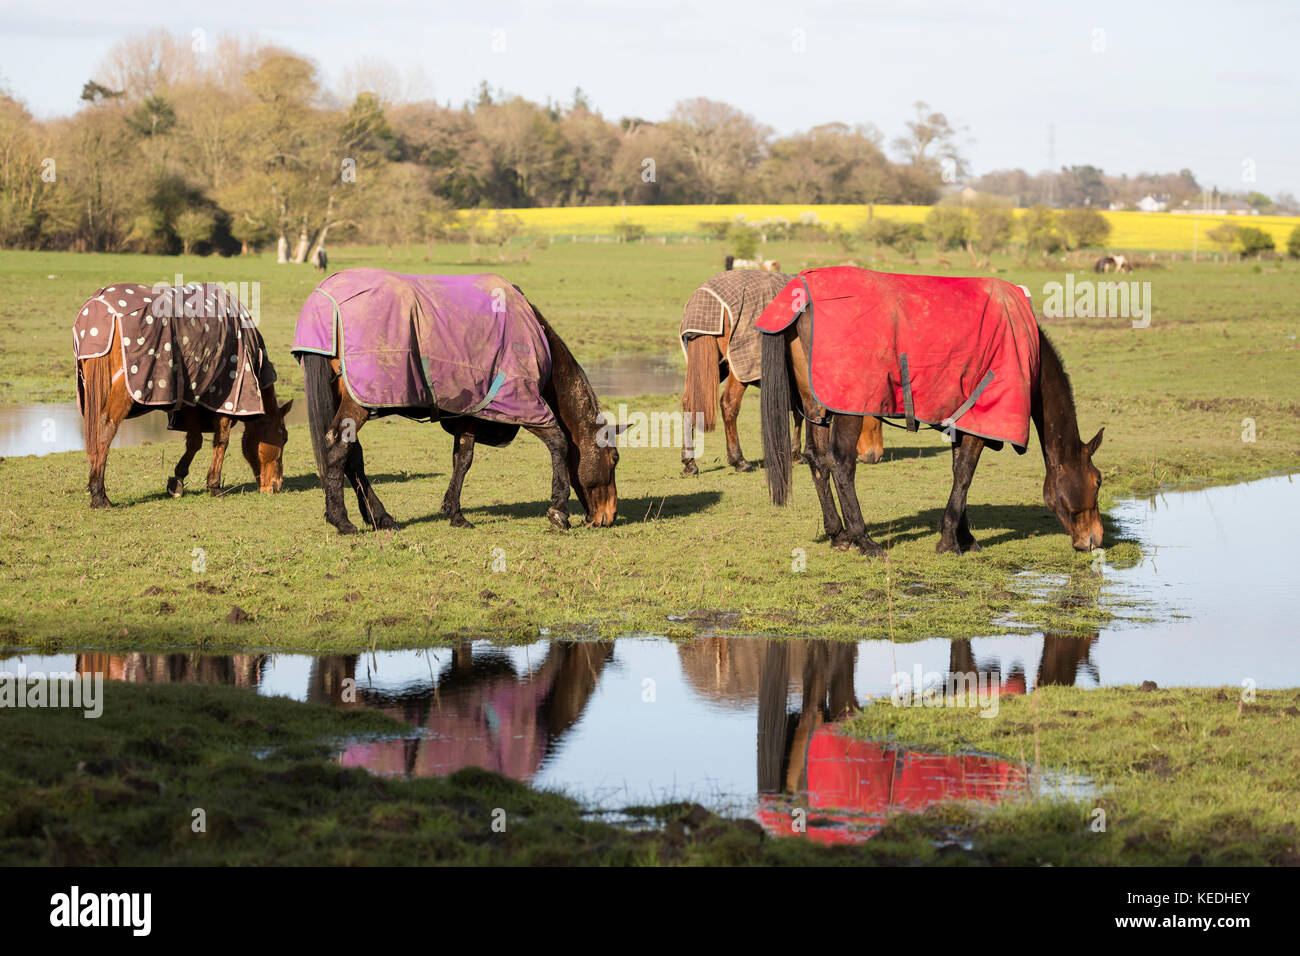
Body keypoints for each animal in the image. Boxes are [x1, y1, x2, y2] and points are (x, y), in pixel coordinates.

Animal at [74, 282, 295, 509]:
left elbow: (194, 441)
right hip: (123, 392)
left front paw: (177, 481)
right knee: (105, 428)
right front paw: (214, 486)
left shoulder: (192, 400)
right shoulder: (228, 398)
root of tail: (98, 307)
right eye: (284, 437)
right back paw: (98, 494)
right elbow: (221, 440)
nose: (277, 486)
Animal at [295, 269, 618, 535]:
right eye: (614, 458)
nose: (607, 516)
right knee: (338, 447)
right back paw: (342, 521)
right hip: (357, 404)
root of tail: (325, 299)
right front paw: (559, 510)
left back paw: (379, 517)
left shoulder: (471, 413)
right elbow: (558, 441)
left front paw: (455, 513)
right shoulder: (522, 403)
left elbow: (462, 459)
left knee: (353, 457)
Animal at [681, 270, 883, 473]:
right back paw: (739, 460)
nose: (876, 455)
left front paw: (795, 453)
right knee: (729, 404)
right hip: (742, 368)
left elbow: (799, 412)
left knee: (689, 403)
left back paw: (689, 461)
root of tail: (706, 298)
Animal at [759, 267, 1102, 554]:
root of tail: (802, 295)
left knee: (817, 460)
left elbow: (958, 471)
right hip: (849, 410)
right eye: (1098, 481)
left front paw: (964, 535)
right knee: (841, 464)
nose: (1096, 539)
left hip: (816, 405)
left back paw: (838, 534)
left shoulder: (962, 423)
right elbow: (964, 473)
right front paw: (950, 539)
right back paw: (863, 539)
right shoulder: (980, 422)